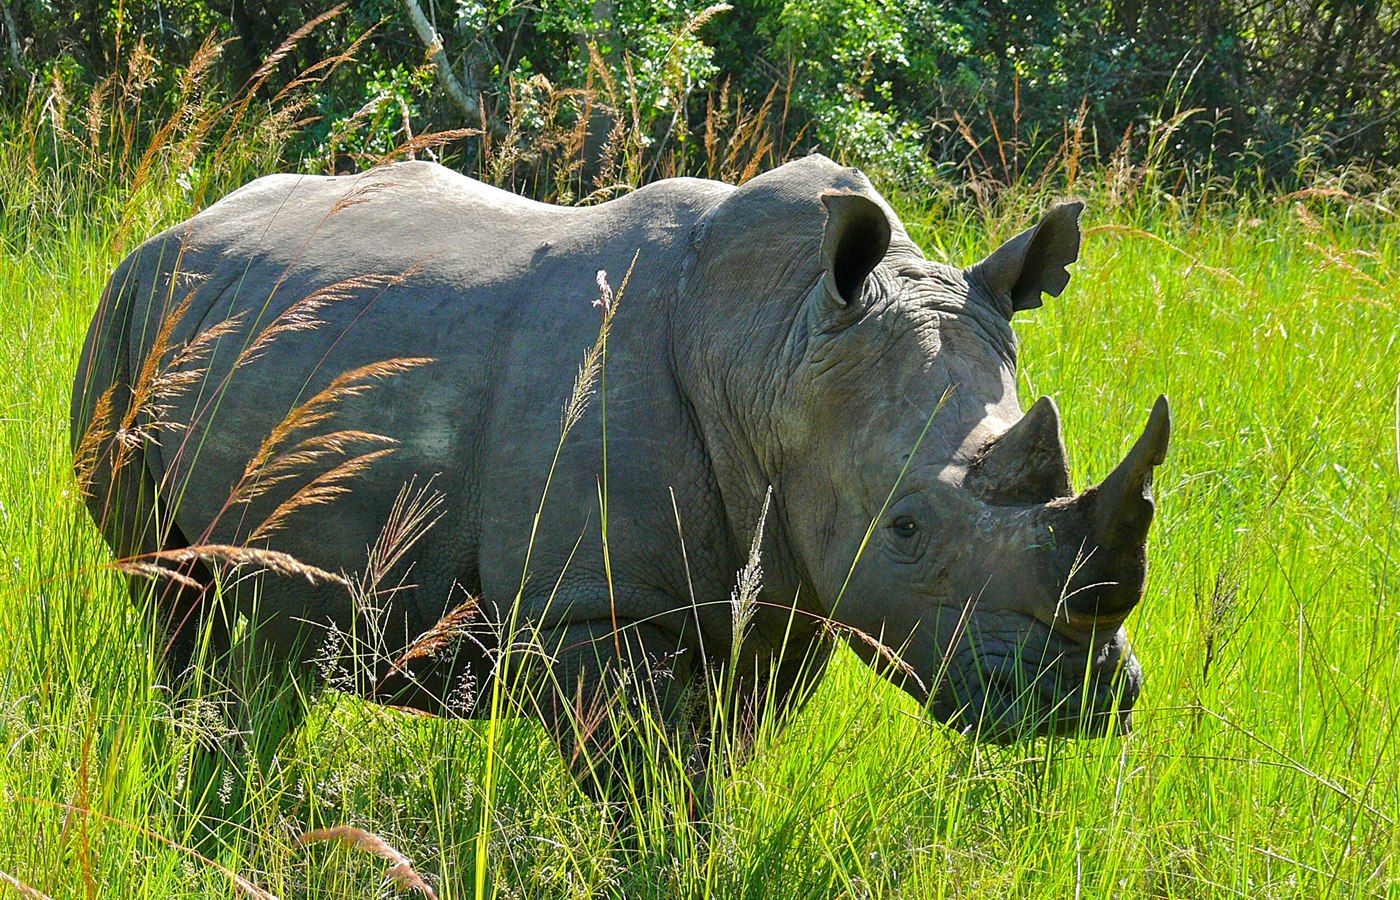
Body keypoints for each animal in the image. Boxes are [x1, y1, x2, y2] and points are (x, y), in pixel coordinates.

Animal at [72, 155, 1169, 799]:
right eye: (906, 529)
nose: (1077, 700)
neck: (776, 350)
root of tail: (189, 219)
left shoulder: (787, 599)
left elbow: (716, 771)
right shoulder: (589, 609)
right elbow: (637, 789)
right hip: (126, 314)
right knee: (171, 602)